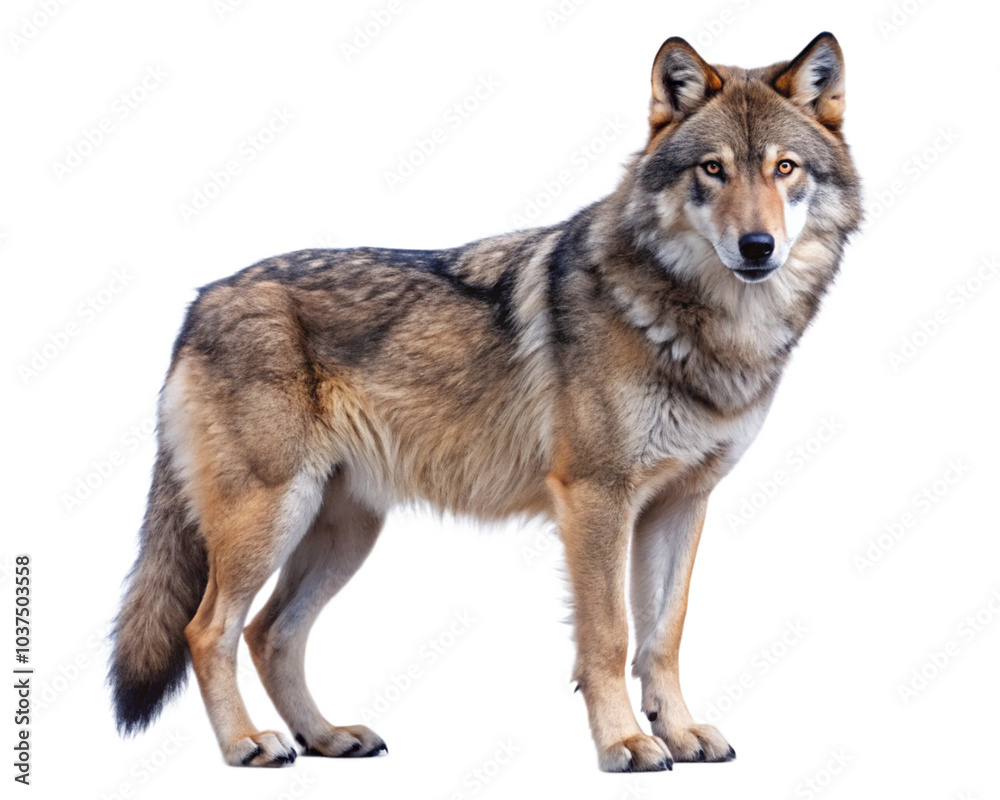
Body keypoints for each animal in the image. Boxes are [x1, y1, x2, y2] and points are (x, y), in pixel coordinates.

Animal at [109, 33, 861, 771]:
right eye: (713, 169)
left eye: (785, 168)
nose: (757, 246)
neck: (709, 329)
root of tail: (200, 302)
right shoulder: (596, 496)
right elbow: (610, 636)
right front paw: (623, 743)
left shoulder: (681, 503)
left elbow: (664, 636)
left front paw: (679, 733)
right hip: (272, 516)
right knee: (207, 629)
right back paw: (247, 743)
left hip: (344, 532)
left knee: (271, 633)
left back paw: (325, 736)